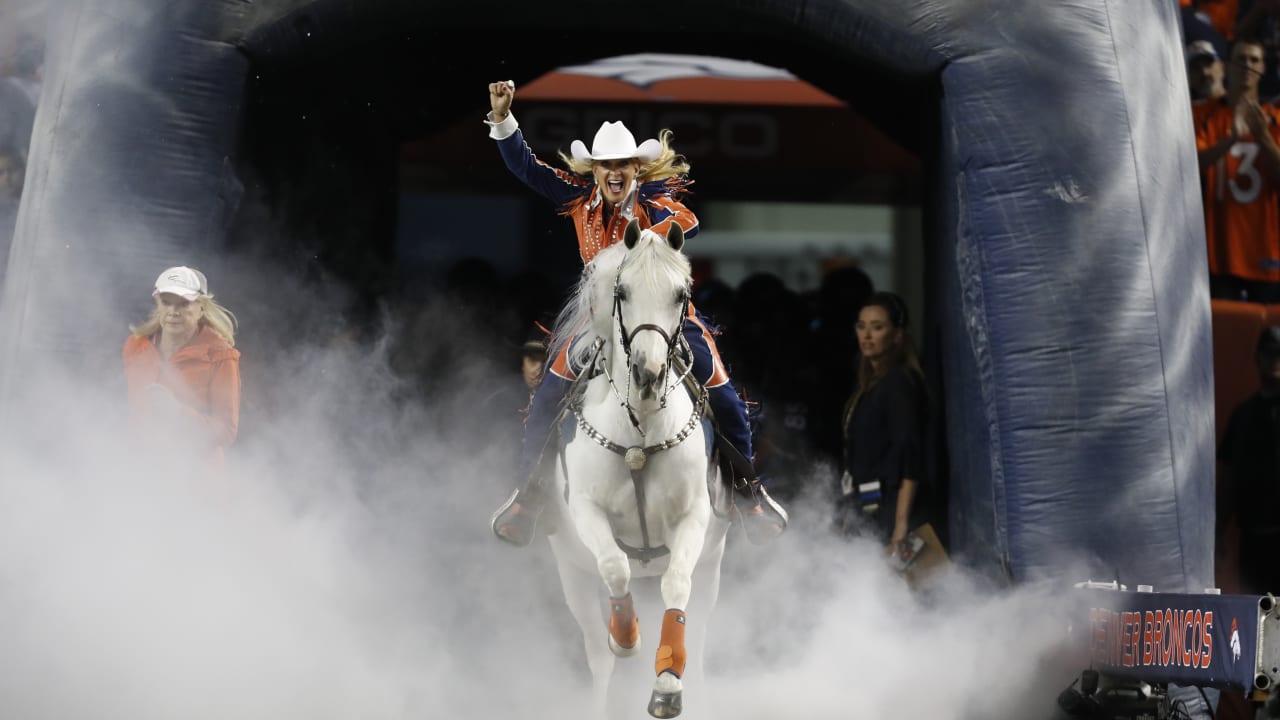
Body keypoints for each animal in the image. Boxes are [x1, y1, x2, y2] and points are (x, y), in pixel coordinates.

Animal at [540, 220, 732, 717]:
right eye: (622, 291)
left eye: (682, 293)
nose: (648, 372)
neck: (639, 433)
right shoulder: (586, 511)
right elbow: (615, 567)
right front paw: (626, 636)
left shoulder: (694, 517)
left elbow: (676, 585)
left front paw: (667, 685)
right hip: (571, 574)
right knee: (597, 651)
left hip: (713, 567)